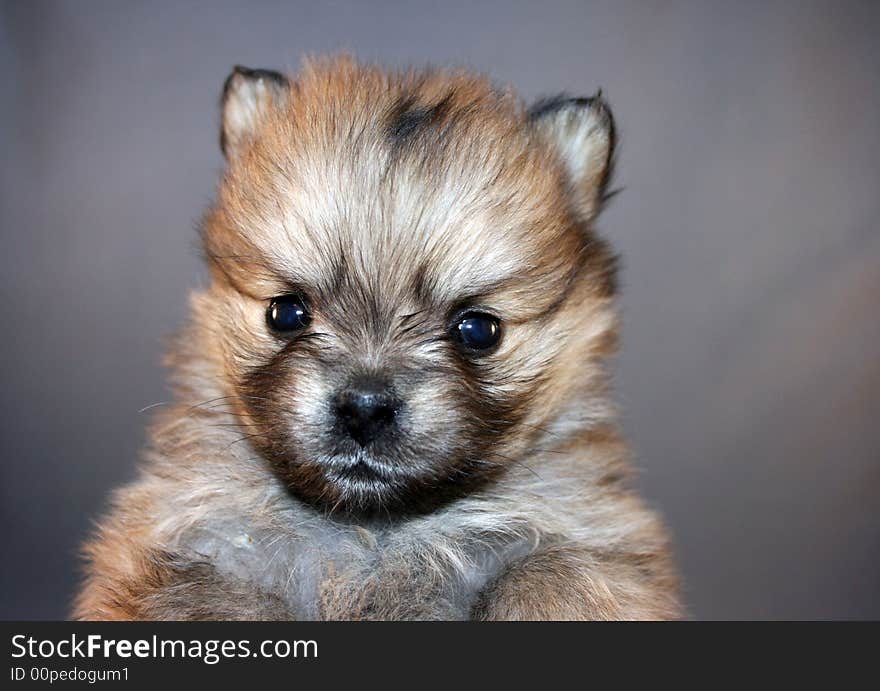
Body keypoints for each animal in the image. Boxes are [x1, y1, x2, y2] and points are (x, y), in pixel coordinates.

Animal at [74, 56, 680, 620]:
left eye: (478, 330)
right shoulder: (186, 544)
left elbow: (555, 571)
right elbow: (205, 593)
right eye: (285, 313)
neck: (376, 533)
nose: (364, 408)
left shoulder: (596, 539)